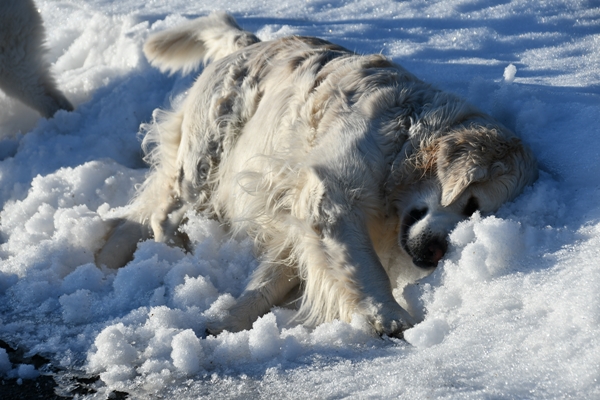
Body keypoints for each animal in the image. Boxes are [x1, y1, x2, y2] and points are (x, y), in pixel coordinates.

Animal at [96, 12, 536, 336]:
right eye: (471, 202)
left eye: (476, 216)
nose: (436, 256)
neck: (405, 138)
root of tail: (249, 42)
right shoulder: (331, 196)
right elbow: (364, 268)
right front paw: (389, 316)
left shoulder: (297, 216)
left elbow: (270, 280)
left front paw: (223, 321)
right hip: (204, 166)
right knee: (162, 213)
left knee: (141, 213)